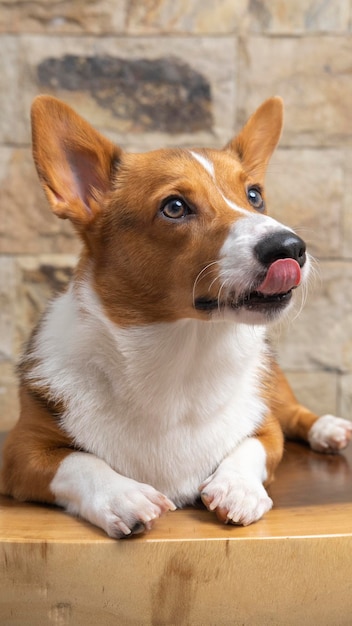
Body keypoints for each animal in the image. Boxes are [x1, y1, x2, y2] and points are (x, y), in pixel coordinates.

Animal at [1, 94, 350, 536]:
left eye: (254, 195)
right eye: (175, 207)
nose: (290, 247)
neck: (182, 355)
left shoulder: (266, 429)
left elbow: (251, 446)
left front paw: (236, 488)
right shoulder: (20, 452)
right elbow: (79, 461)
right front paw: (124, 496)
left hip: (277, 389)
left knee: (294, 413)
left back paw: (329, 429)